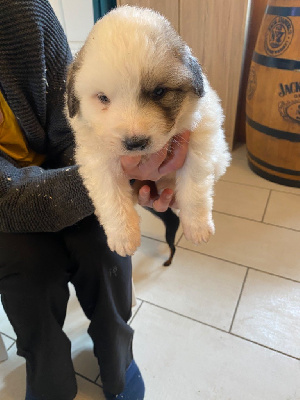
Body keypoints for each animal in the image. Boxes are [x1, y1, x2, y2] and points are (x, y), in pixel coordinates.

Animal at [65, 5, 230, 256]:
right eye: (103, 98)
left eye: (159, 92)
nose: (135, 143)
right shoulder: (98, 157)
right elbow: (111, 195)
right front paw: (123, 236)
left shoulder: (201, 139)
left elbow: (195, 186)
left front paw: (198, 227)